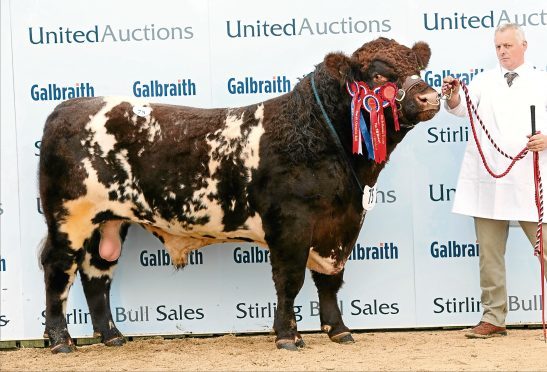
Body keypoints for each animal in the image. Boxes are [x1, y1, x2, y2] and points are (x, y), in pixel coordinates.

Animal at [37, 37, 440, 352]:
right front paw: (288, 336)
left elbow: (330, 280)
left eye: (417, 66)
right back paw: (60, 340)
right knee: (59, 267)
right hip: (69, 217)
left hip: (109, 220)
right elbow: (290, 279)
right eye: (378, 75)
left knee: (97, 272)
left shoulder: (341, 223)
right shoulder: (291, 223)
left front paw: (338, 330)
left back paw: (112, 336)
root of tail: (67, 106)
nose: (430, 96)